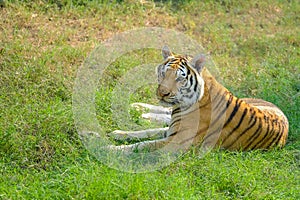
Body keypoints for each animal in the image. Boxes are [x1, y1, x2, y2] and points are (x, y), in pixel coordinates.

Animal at [107, 46, 288, 154]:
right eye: (164, 73)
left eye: (180, 78)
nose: (162, 93)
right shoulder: (172, 131)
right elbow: (145, 132)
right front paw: (118, 133)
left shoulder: (176, 141)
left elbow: (142, 144)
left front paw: (110, 148)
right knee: (165, 112)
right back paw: (138, 108)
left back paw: (143, 114)